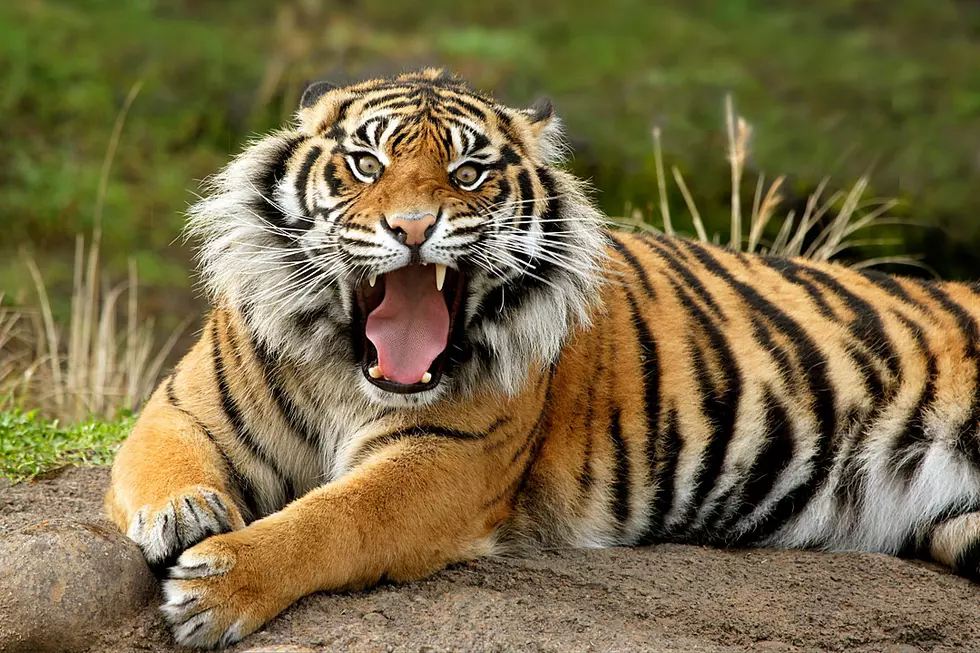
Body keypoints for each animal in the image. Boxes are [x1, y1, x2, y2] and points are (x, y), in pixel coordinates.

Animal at [103, 67, 980, 648]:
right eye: (367, 163)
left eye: (468, 172)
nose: (412, 228)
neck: (344, 367)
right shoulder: (182, 406)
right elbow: (162, 462)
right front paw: (183, 513)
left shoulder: (443, 461)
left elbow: (333, 518)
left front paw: (220, 585)